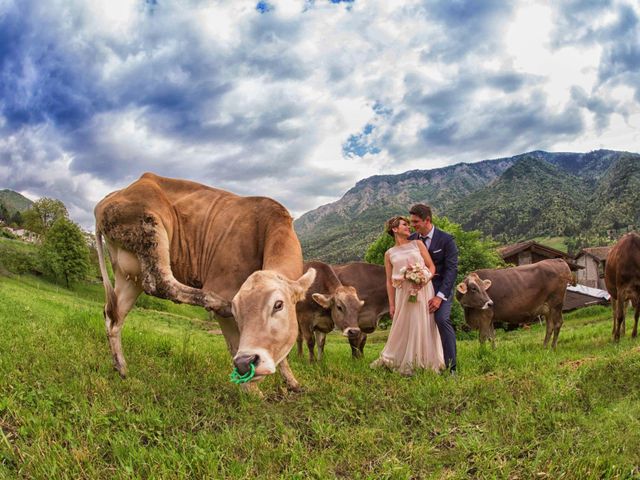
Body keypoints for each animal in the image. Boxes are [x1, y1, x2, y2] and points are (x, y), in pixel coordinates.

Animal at [94, 172, 316, 394]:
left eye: (278, 305)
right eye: (237, 311)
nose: (246, 363)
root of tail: (111, 197)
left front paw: (292, 382)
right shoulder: (224, 285)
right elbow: (234, 344)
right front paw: (252, 392)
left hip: (129, 273)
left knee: (113, 315)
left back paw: (122, 368)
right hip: (150, 223)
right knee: (160, 283)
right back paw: (214, 300)